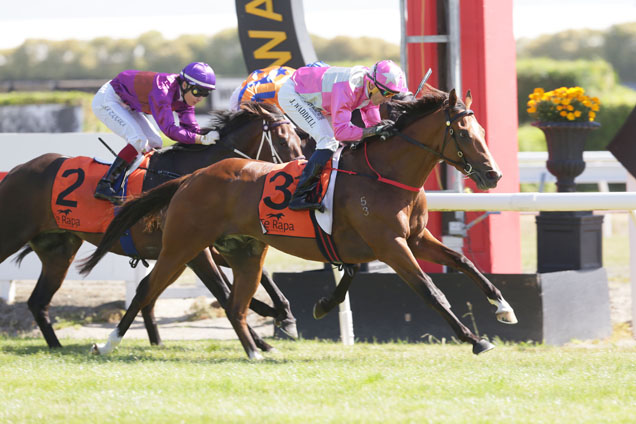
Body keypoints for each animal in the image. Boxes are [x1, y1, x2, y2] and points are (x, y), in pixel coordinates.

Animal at [0, 102, 304, 352]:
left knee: (38, 301)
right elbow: (224, 291)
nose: (297, 172)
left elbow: (261, 275)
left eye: (299, 139)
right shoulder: (194, 251)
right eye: (281, 139)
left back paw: (56, 346)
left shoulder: (205, 244)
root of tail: (15, 170)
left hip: (58, 252)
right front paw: (262, 337)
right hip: (12, 234)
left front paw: (284, 315)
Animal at [82, 88, 516, 360]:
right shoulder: (391, 243)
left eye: (481, 130)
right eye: (463, 133)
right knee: (147, 290)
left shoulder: (416, 237)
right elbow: (430, 290)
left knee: (232, 300)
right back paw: (107, 345)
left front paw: (504, 307)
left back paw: (257, 346)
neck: (387, 174)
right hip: (184, 247)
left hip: (237, 249)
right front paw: (475, 340)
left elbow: (464, 262)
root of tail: (189, 178)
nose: (493, 175)